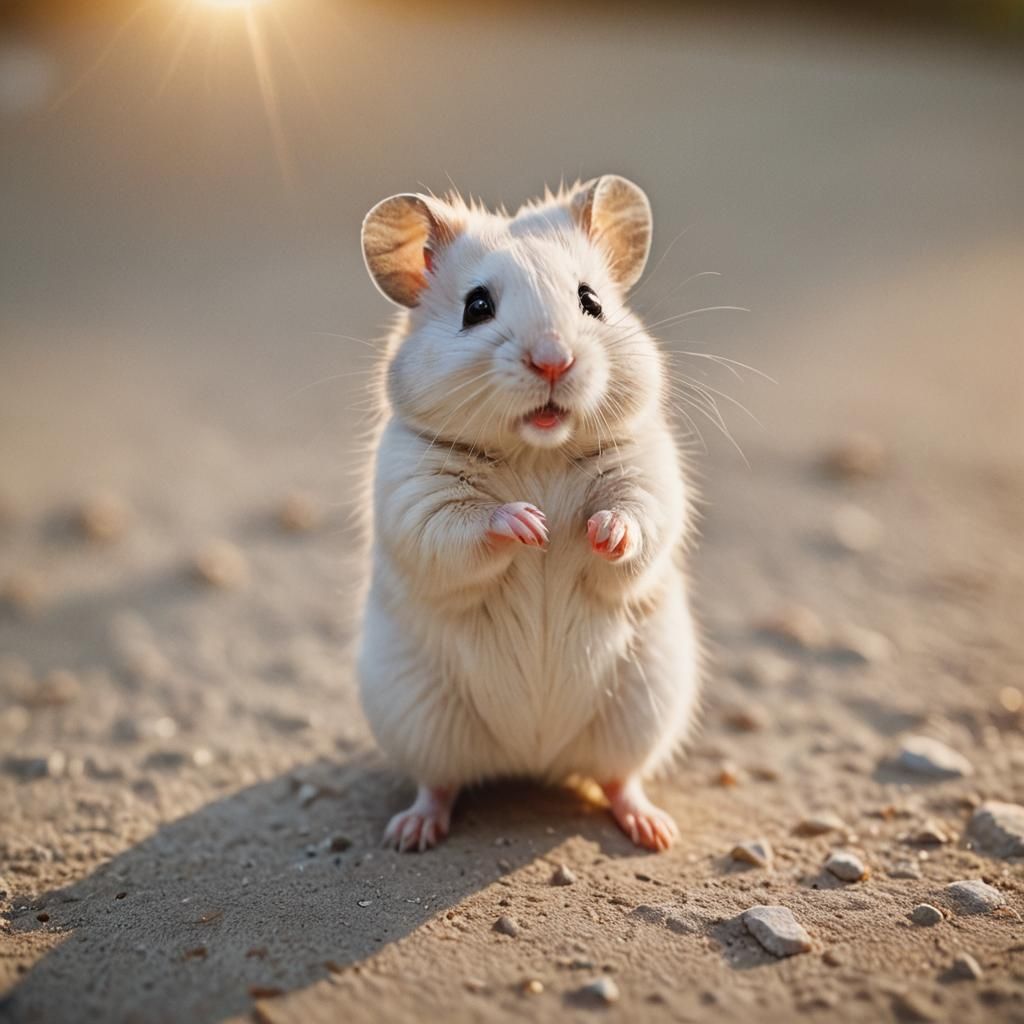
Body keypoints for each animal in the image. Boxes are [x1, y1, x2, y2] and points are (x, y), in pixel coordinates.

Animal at [357, 175, 700, 852]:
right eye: (477, 307)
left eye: (590, 301)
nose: (552, 360)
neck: (536, 449)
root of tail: (533, 756)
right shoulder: (416, 498)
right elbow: (464, 528)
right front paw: (531, 525)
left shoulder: (650, 476)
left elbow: (636, 519)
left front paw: (597, 532)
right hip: (418, 714)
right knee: (439, 782)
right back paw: (411, 832)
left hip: (642, 704)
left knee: (618, 778)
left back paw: (654, 830)